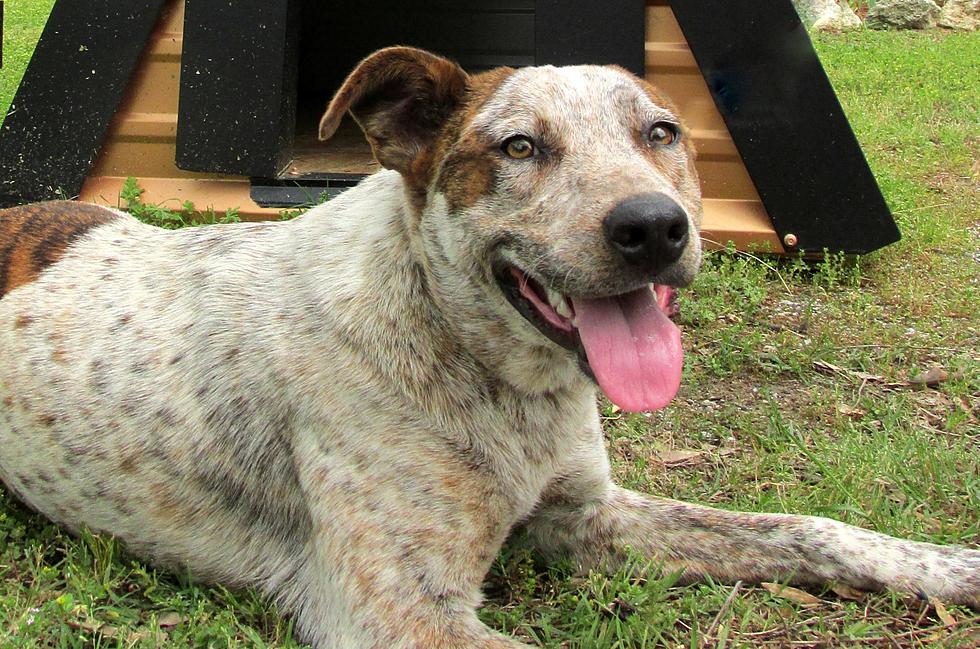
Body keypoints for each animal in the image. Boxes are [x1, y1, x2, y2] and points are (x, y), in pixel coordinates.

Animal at [1, 46, 980, 648]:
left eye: (661, 133)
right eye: (518, 146)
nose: (653, 227)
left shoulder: (584, 514)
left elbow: (809, 529)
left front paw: (950, 564)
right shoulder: (401, 612)